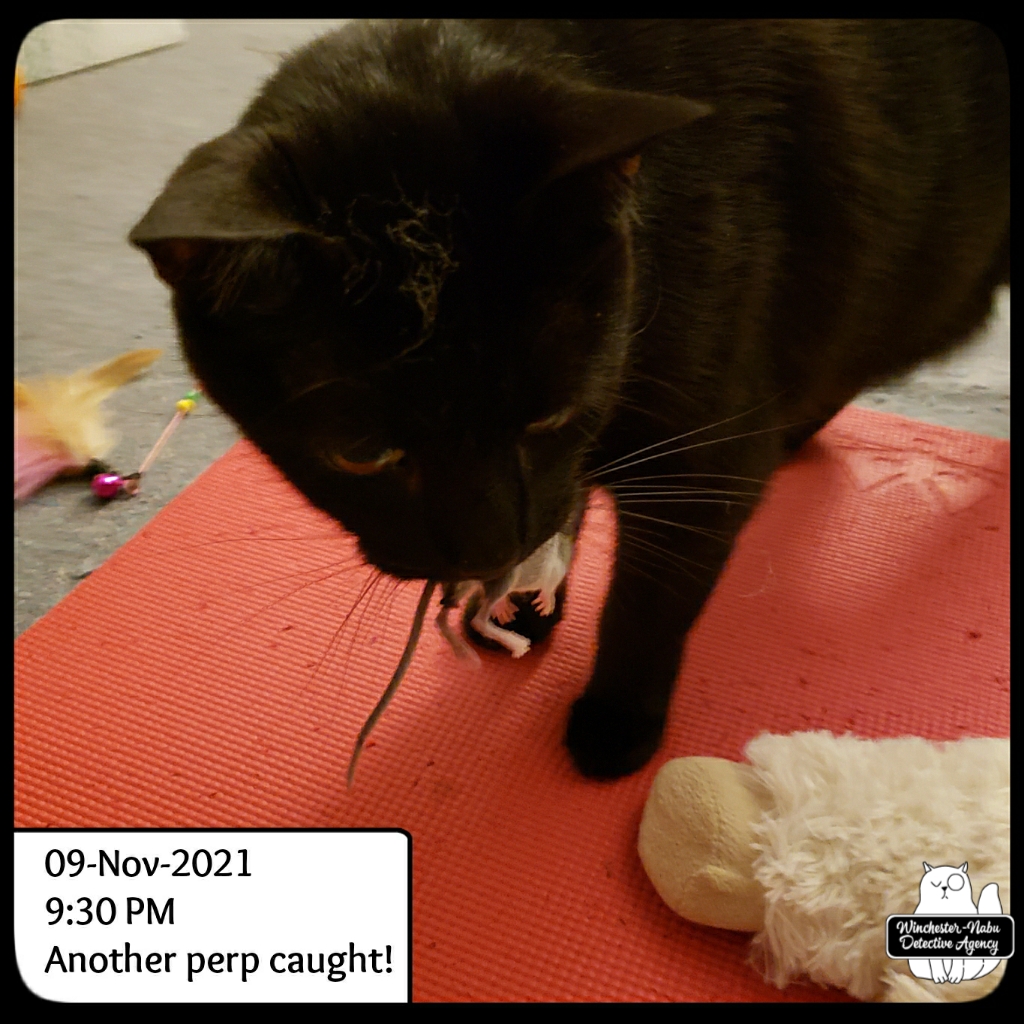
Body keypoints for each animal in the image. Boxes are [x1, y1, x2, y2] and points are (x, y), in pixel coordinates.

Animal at [129, 20, 1009, 779]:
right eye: (362, 454)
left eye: (548, 413)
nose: (484, 548)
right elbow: (565, 509)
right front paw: (521, 601)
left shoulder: (700, 464)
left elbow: (648, 600)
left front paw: (617, 721)